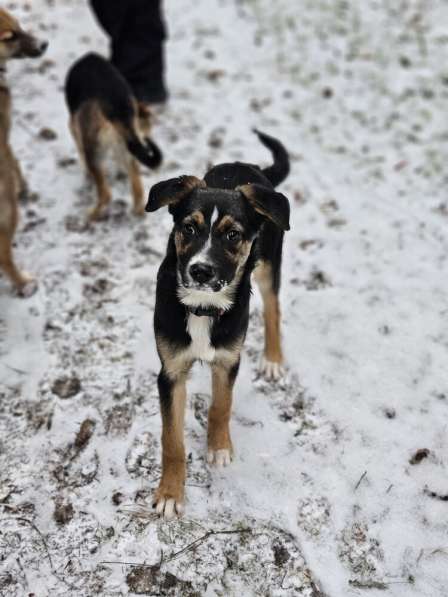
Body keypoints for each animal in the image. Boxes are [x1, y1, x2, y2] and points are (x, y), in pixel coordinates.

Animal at [65, 53, 164, 221]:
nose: (146, 136)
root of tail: (118, 110)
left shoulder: (74, 127)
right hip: (126, 148)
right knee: (138, 190)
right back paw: (137, 213)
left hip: (94, 152)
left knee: (106, 194)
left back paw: (92, 215)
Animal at [144, 129, 290, 516]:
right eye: (188, 228)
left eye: (233, 235)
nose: (200, 270)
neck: (203, 307)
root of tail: (251, 167)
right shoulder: (171, 371)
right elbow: (171, 439)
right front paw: (170, 493)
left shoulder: (228, 359)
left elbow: (221, 404)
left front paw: (219, 446)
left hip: (270, 261)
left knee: (273, 307)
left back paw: (273, 358)